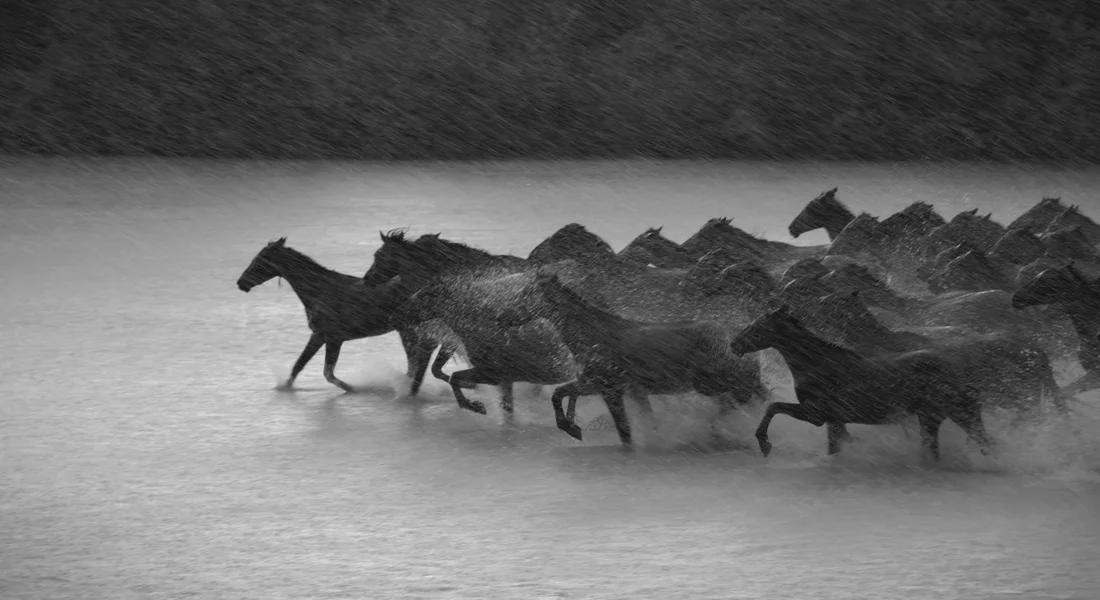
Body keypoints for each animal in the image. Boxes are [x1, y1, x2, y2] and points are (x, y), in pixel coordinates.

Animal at [236, 237, 457, 393]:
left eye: (259, 260)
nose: (241, 283)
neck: (319, 293)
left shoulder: (329, 337)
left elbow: (323, 371)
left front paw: (351, 388)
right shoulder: (325, 337)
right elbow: (302, 367)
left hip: (408, 330)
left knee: (417, 360)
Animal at [504, 272, 768, 446]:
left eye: (526, 294)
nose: (502, 316)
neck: (588, 337)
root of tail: (733, 342)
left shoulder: (604, 385)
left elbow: (560, 394)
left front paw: (571, 428)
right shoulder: (624, 390)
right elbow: (634, 426)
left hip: (711, 383)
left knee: (745, 397)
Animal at [730, 306, 996, 461]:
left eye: (756, 326)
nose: (735, 344)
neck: (814, 365)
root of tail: (960, 369)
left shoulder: (815, 414)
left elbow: (772, 406)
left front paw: (764, 443)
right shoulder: (834, 420)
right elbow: (836, 445)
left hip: (954, 413)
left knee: (984, 442)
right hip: (931, 417)